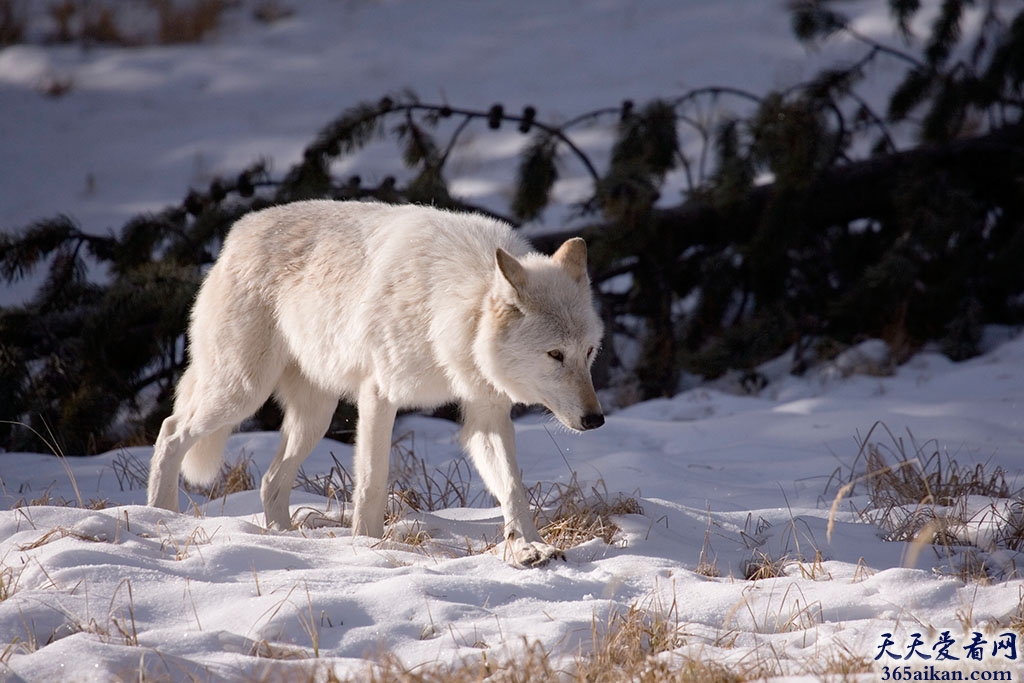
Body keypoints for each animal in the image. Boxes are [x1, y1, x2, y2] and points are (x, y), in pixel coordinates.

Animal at [148, 200, 602, 569]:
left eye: (589, 352)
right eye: (555, 355)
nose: (596, 419)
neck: (449, 309)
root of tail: (236, 233)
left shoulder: (486, 413)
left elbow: (512, 488)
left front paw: (530, 548)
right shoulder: (379, 395)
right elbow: (371, 484)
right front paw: (368, 548)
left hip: (314, 417)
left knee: (269, 481)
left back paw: (284, 539)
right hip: (240, 393)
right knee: (171, 431)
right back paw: (160, 515)